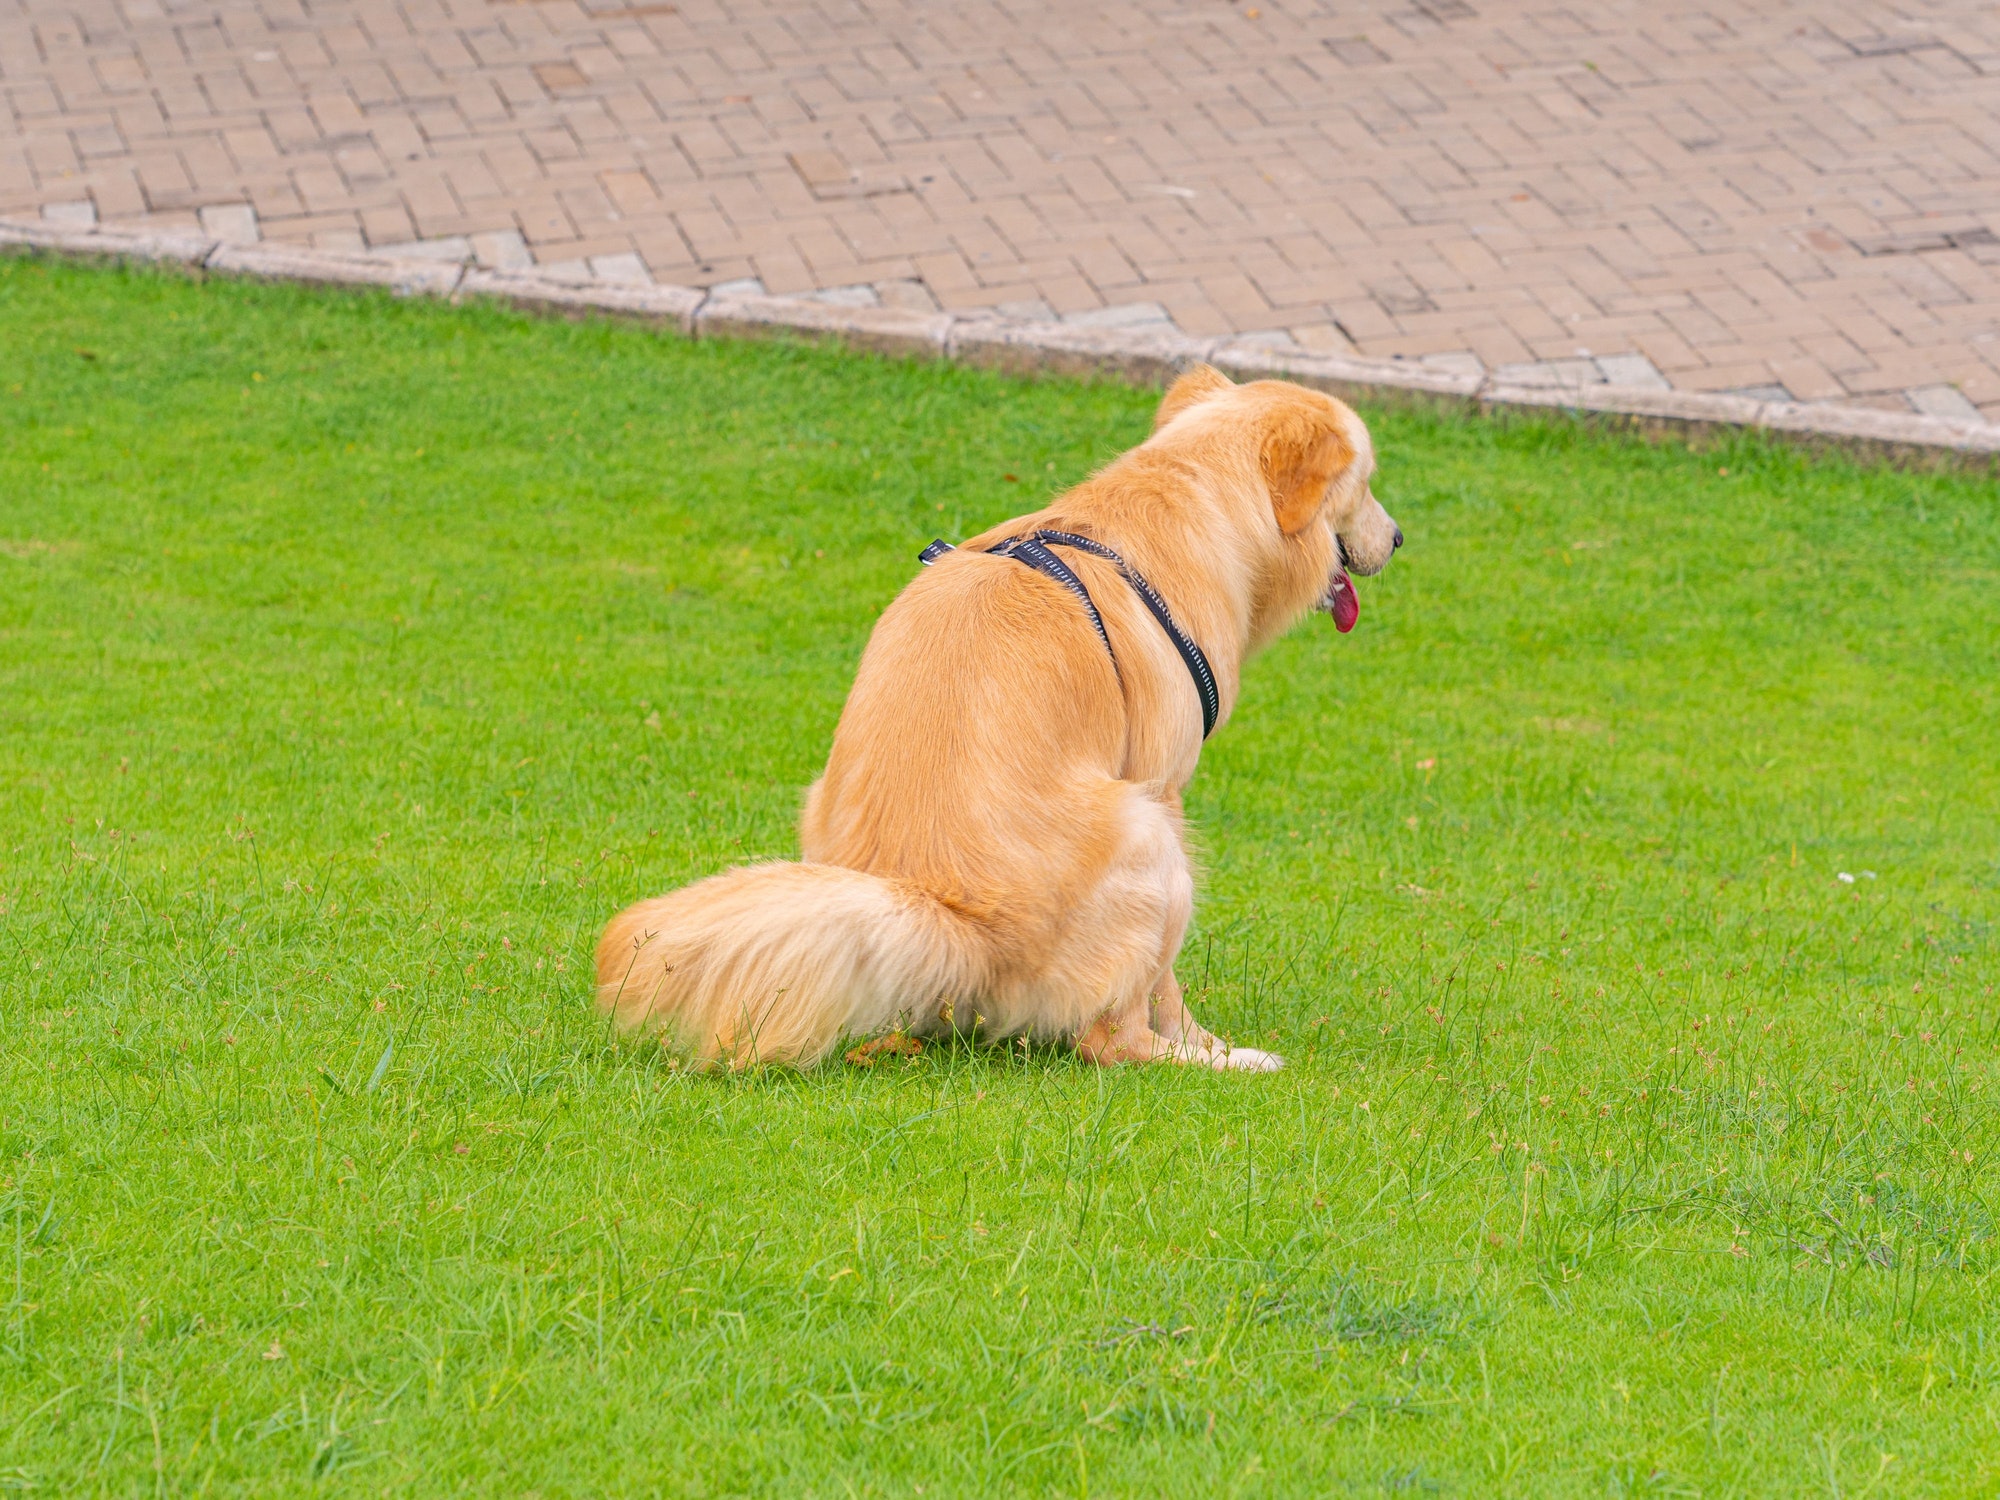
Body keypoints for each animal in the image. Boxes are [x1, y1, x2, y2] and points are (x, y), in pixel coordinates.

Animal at [596, 364, 1408, 1072]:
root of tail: (953, 921)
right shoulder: (1165, 785)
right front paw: (1203, 1039)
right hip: (1144, 833)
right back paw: (1225, 1063)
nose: (1398, 538)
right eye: (1367, 482)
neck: (1191, 483)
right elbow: (1166, 982)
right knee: (1113, 1042)